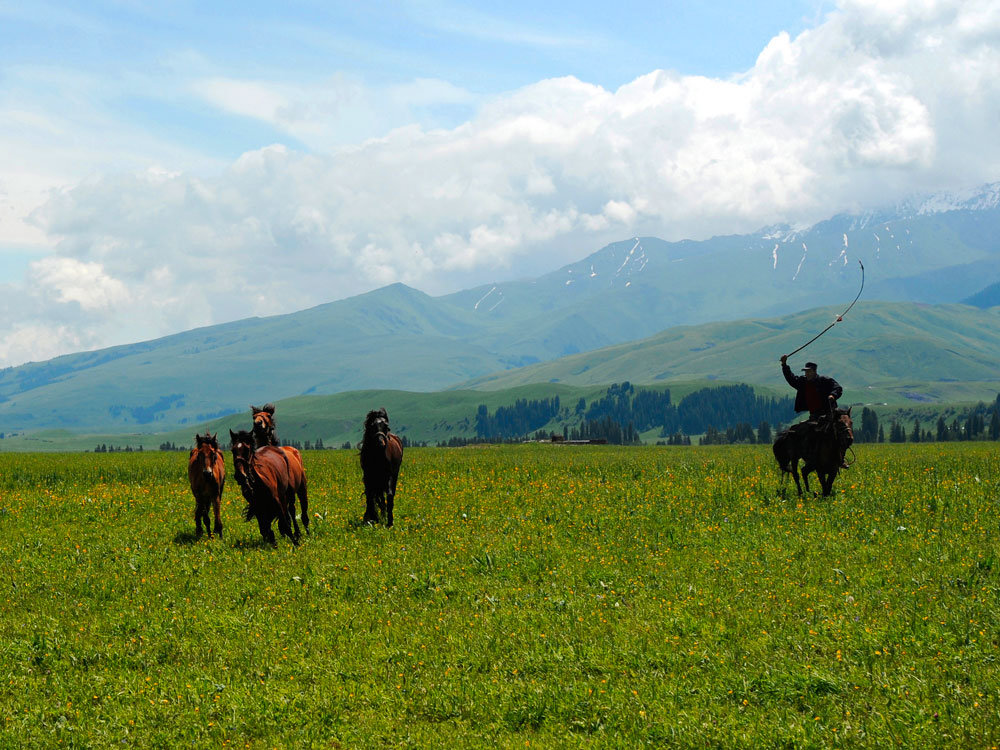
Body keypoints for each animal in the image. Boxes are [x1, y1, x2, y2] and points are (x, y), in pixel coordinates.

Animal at [250, 406, 308, 540]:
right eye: (254, 417)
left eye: (268, 415)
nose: (258, 424)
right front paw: (284, 530)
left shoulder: (289, 492)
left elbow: (291, 510)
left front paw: (296, 532)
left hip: (301, 486)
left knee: (302, 506)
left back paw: (306, 529)